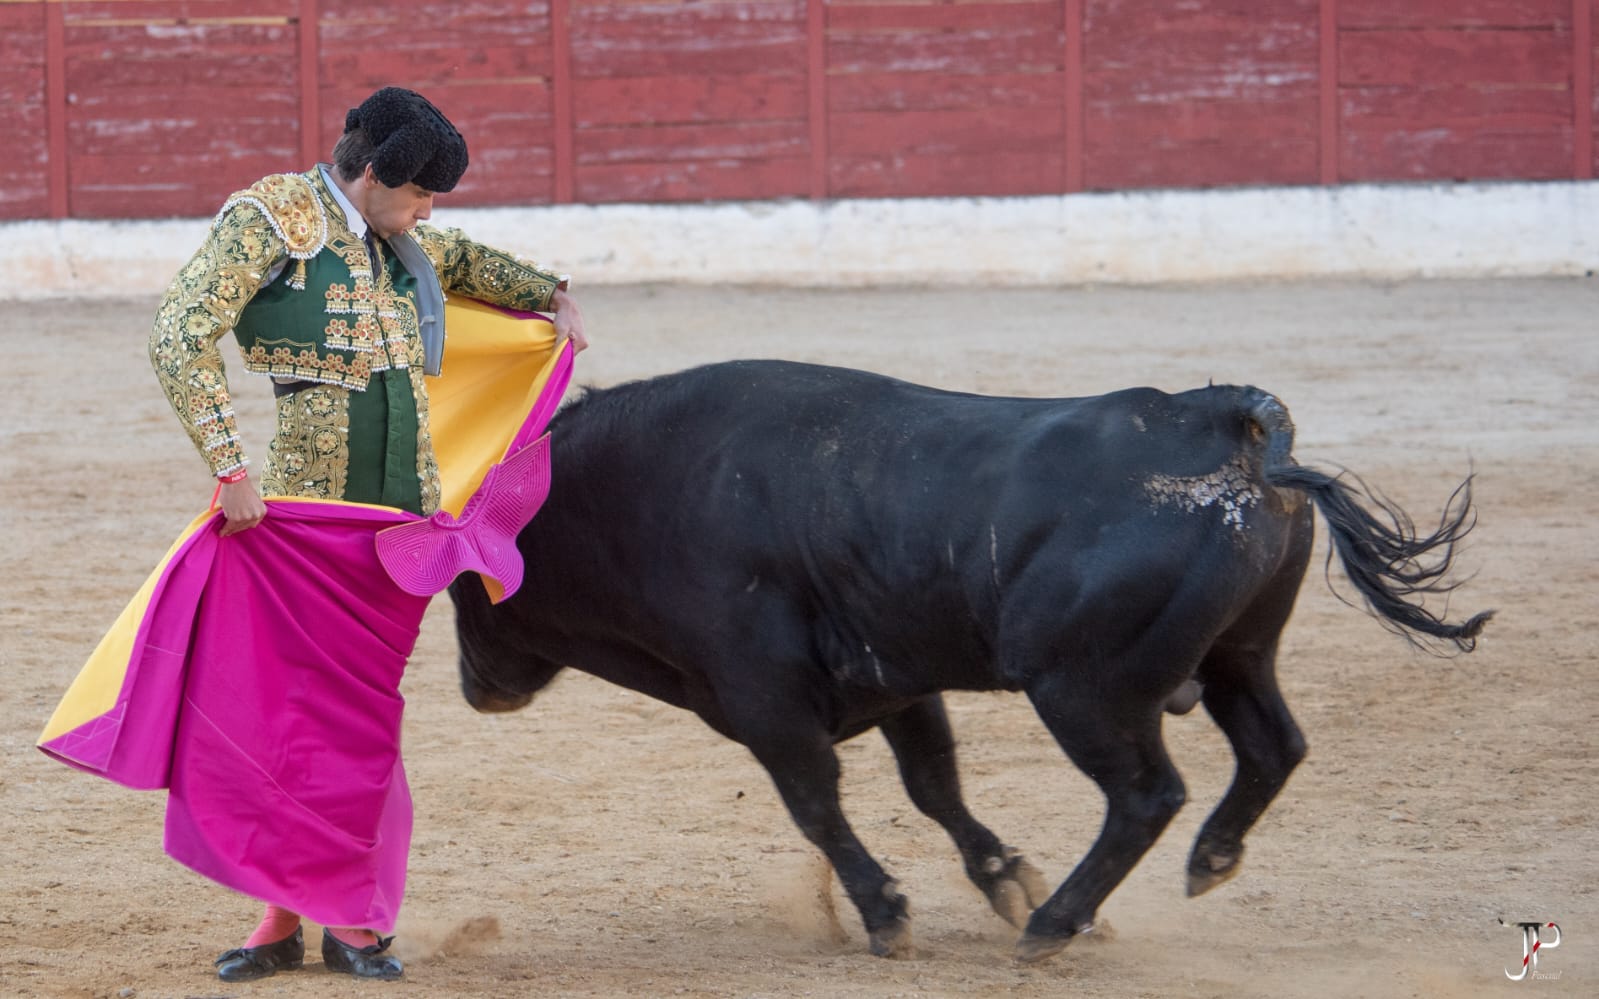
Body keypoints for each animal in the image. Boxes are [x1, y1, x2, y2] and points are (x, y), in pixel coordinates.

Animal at [447, 358, 1483, 959]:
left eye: (460, 580)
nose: (474, 688)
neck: (637, 488)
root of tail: (1223, 420)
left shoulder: (764, 702)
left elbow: (818, 806)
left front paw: (888, 914)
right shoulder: (896, 679)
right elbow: (933, 787)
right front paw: (1001, 878)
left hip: (1083, 689)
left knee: (1146, 794)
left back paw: (1056, 925)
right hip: (1240, 653)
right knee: (1271, 746)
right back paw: (1204, 861)